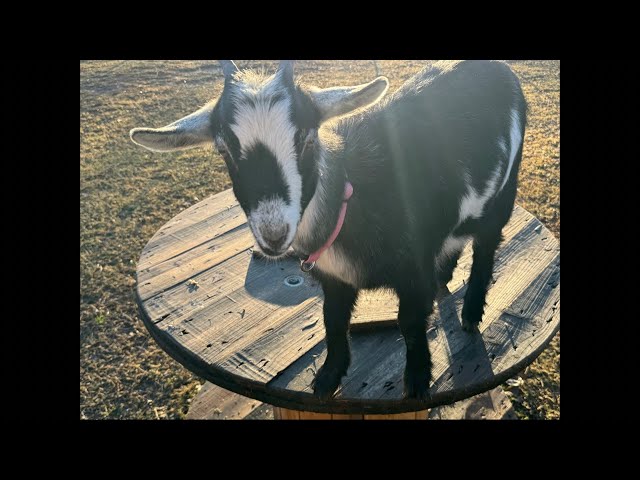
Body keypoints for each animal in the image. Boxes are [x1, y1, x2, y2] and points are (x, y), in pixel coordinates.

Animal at [130, 61, 524, 402]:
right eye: (224, 149)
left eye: (306, 138)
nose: (274, 234)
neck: (349, 195)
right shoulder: (335, 279)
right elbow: (333, 324)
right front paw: (327, 379)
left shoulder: (413, 273)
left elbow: (411, 325)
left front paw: (417, 383)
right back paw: (444, 277)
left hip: (502, 197)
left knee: (486, 246)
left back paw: (471, 314)